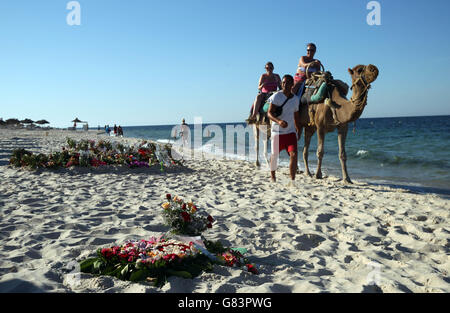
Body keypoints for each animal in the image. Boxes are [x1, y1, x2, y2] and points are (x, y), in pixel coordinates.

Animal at [248, 64, 378, 182]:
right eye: (360, 69)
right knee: (259, 143)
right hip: (262, 125)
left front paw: (347, 178)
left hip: (305, 127)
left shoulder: (342, 126)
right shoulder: (320, 127)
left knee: (301, 149)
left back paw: (305, 172)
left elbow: (342, 154)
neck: (337, 104)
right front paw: (318, 174)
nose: (374, 68)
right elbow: (320, 151)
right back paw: (259, 164)